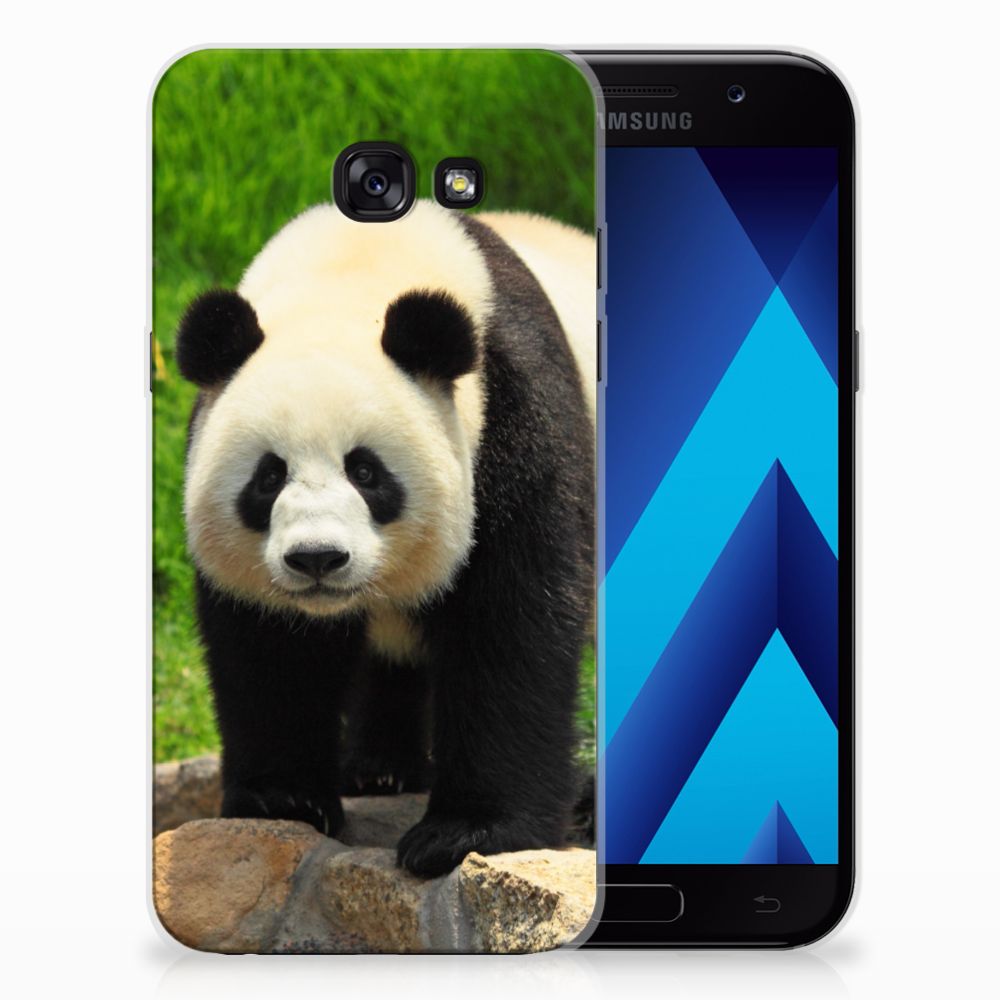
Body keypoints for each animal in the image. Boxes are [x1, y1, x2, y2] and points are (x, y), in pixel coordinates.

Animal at [177, 199, 595, 877]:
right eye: (269, 476)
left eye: (366, 472)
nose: (317, 558)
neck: (353, 271)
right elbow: (270, 647)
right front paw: (282, 799)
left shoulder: (515, 417)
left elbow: (512, 622)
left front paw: (467, 832)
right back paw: (378, 769)